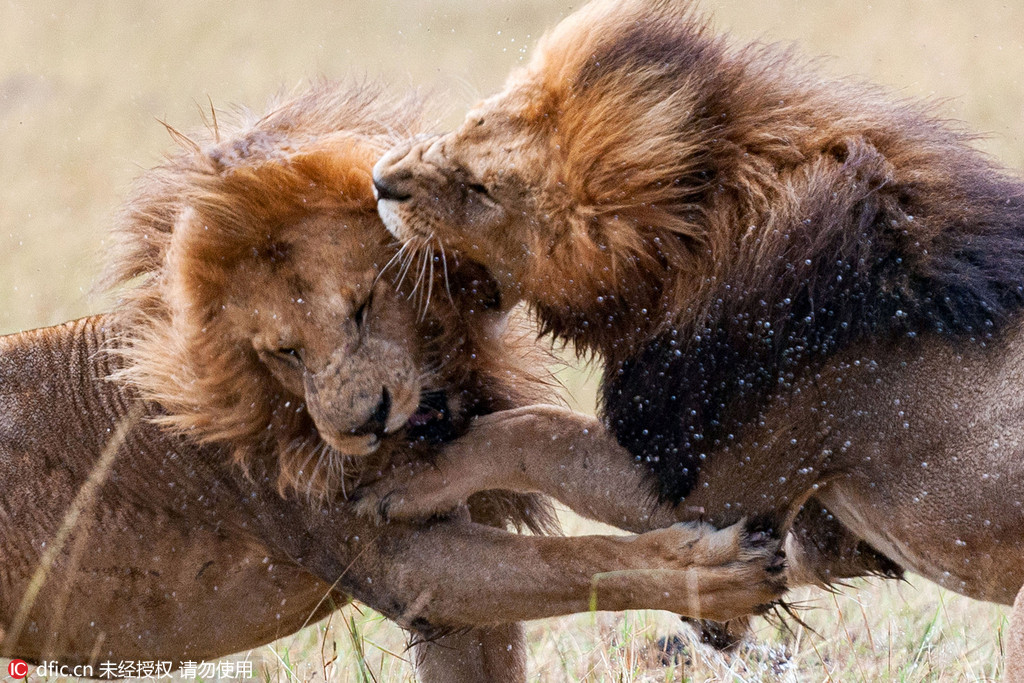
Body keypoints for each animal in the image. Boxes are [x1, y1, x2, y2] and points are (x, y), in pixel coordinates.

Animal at [2, 78, 782, 679]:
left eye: (362, 306)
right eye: (283, 352)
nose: (363, 425)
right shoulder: (407, 568)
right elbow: (578, 560)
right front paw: (718, 579)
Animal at [372, 0, 1024, 651]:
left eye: (482, 190)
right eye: (474, 119)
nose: (380, 180)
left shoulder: (719, 481)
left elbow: (537, 431)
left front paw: (407, 481)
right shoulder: (818, 520)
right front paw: (715, 608)